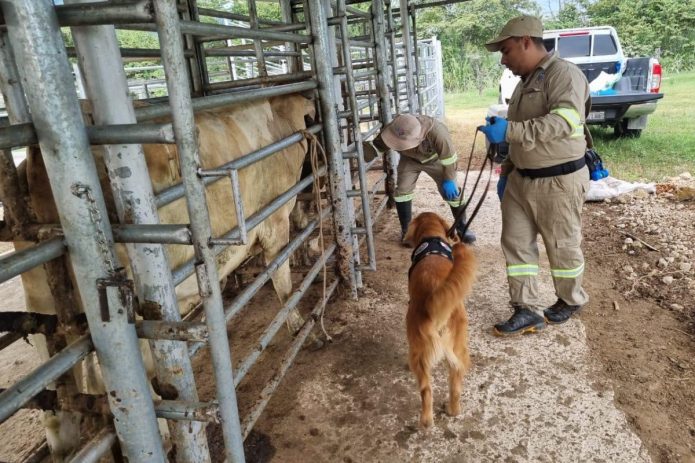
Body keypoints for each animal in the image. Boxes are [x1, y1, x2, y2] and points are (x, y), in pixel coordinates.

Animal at [406, 211, 476, 428]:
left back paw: (426, 421)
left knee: (426, 390)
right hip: (459, 348)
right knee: (455, 385)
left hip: (418, 351)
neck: (432, 237)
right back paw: (452, 410)